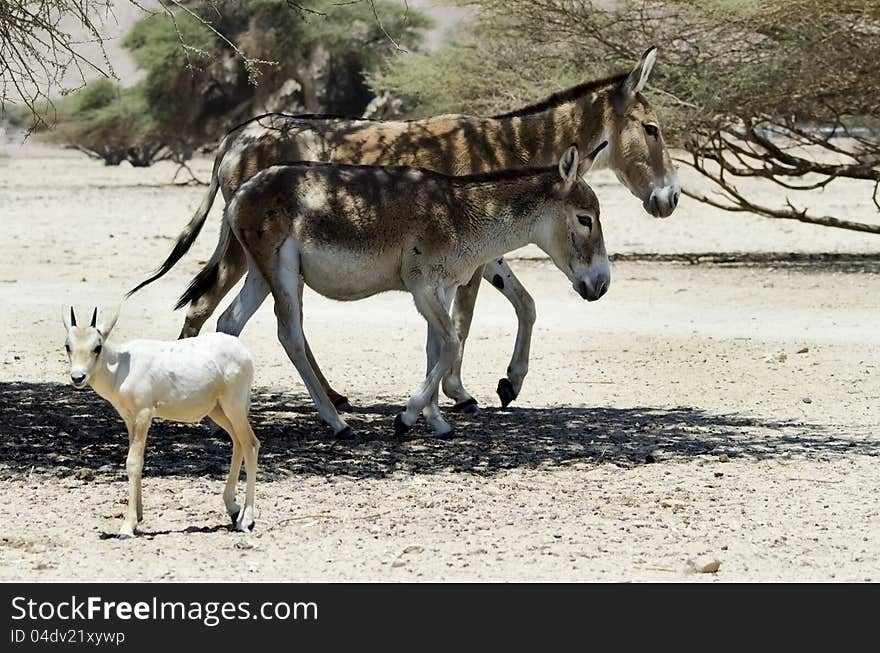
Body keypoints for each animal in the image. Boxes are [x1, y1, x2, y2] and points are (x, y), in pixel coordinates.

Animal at [62, 308, 258, 536]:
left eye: (97, 346)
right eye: (68, 345)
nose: (78, 377)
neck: (121, 367)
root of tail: (243, 351)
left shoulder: (144, 415)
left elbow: (133, 462)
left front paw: (127, 526)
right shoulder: (129, 419)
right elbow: (136, 461)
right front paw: (138, 516)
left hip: (233, 406)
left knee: (251, 444)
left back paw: (246, 520)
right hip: (218, 410)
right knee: (238, 442)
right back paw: (233, 509)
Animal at [217, 143, 608, 438]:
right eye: (585, 219)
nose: (601, 284)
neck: (460, 214)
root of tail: (240, 193)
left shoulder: (443, 288)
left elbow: (435, 349)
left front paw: (437, 421)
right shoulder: (422, 287)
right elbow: (451, 344)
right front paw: (406, 417)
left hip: (260, 273)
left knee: (229, 322)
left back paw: (223, 418)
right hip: (280, 269)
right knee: (290, 335)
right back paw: (338, 422)